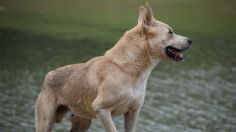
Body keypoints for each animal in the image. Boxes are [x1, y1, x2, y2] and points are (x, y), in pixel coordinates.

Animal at [35, 3, 192, 132]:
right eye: (170, 32)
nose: (190, 40)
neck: (129, 69)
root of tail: (48, 76)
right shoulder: (101, 109)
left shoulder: (132, 113)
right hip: (45, 123)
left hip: (83, 123)